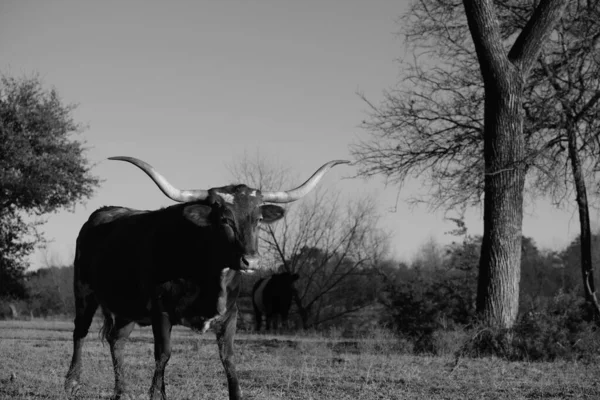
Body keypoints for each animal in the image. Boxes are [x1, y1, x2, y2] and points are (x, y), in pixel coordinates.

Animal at [63, 157, 350, 400]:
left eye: (258, 219)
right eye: (224, 219)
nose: (251, 261)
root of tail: (102, 212)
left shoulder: (230, 315)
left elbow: (229, 359)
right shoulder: (160, 311)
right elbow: (163, 354)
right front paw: (157, 394)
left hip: (127, 308)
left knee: (117, 340)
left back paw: (121, 391)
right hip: (84, 291)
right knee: (80, 331)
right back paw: (72, 382)